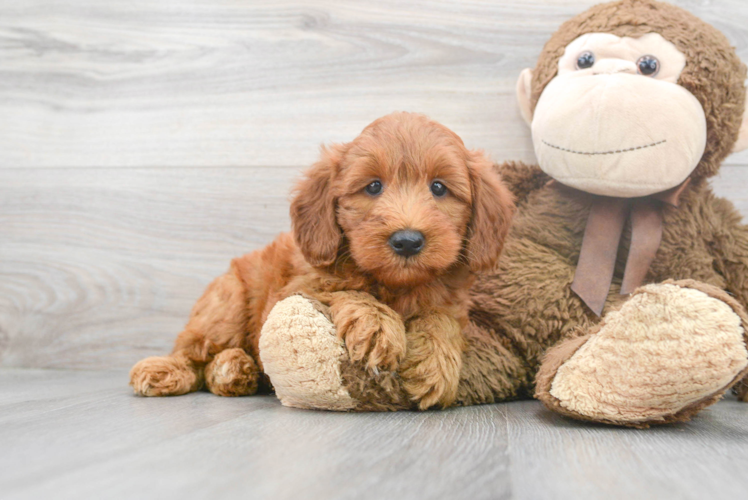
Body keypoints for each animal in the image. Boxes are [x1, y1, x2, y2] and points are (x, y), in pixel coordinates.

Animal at [130, 112, 516, 410]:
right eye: (373, 187)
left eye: (439, 188)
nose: (407, 240)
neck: (396, 285)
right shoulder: (294, 288)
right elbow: (345, 291)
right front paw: (378, 326)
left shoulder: (452, 305)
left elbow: (441, 320)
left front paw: (434, 364)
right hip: (225, 305)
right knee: (194, 351)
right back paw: (168, 370)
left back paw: (234, 370)